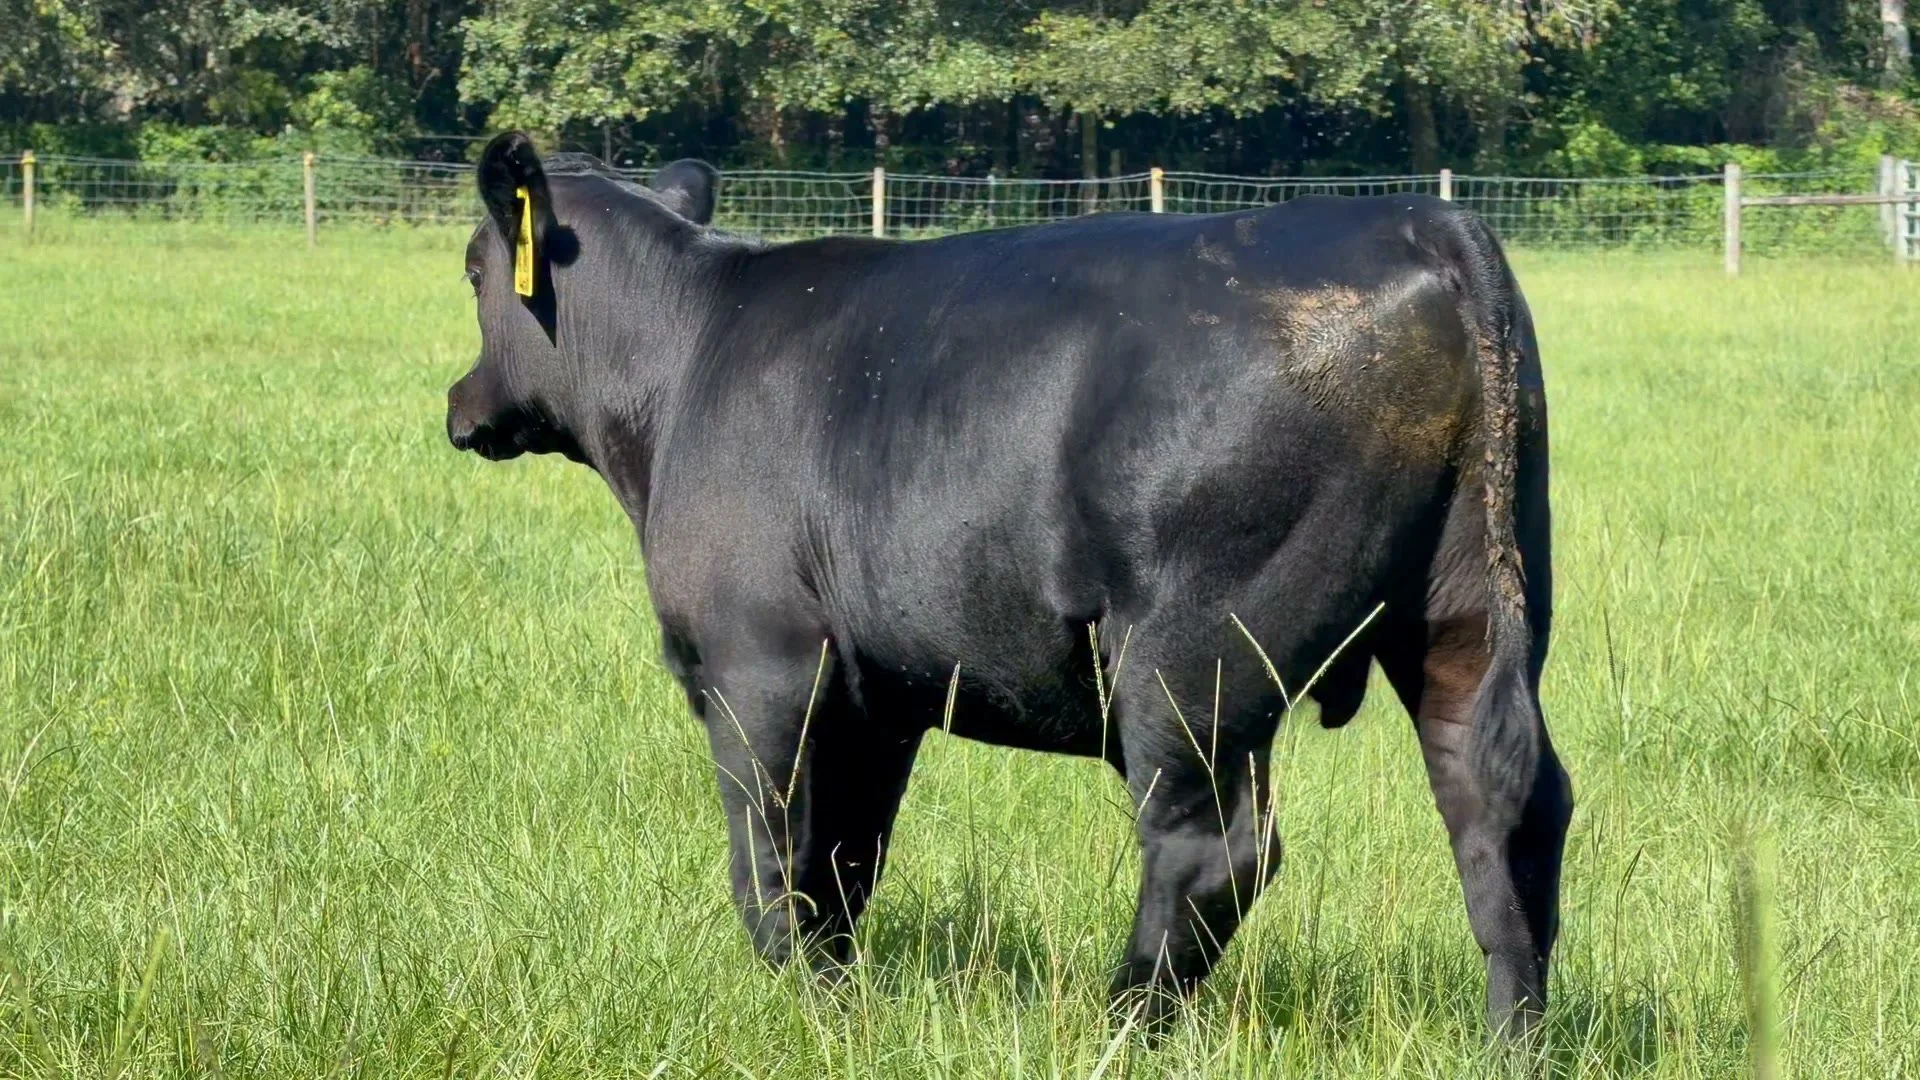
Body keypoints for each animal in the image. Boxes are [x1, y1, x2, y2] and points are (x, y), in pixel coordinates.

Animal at [445, 131, 1572, 1039]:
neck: (687, 357)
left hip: (1192, 658)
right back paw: (1512, 1040)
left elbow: (772, 856)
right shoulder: (876, 694)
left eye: (471, 268)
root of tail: (1422, 222)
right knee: (1506, 811)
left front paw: (800, 1003)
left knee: (1210, 850)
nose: (460, 403)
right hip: (1470, 614)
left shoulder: (757, 662)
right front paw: (843, 999)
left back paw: (1120, 1024)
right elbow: (845, 859)